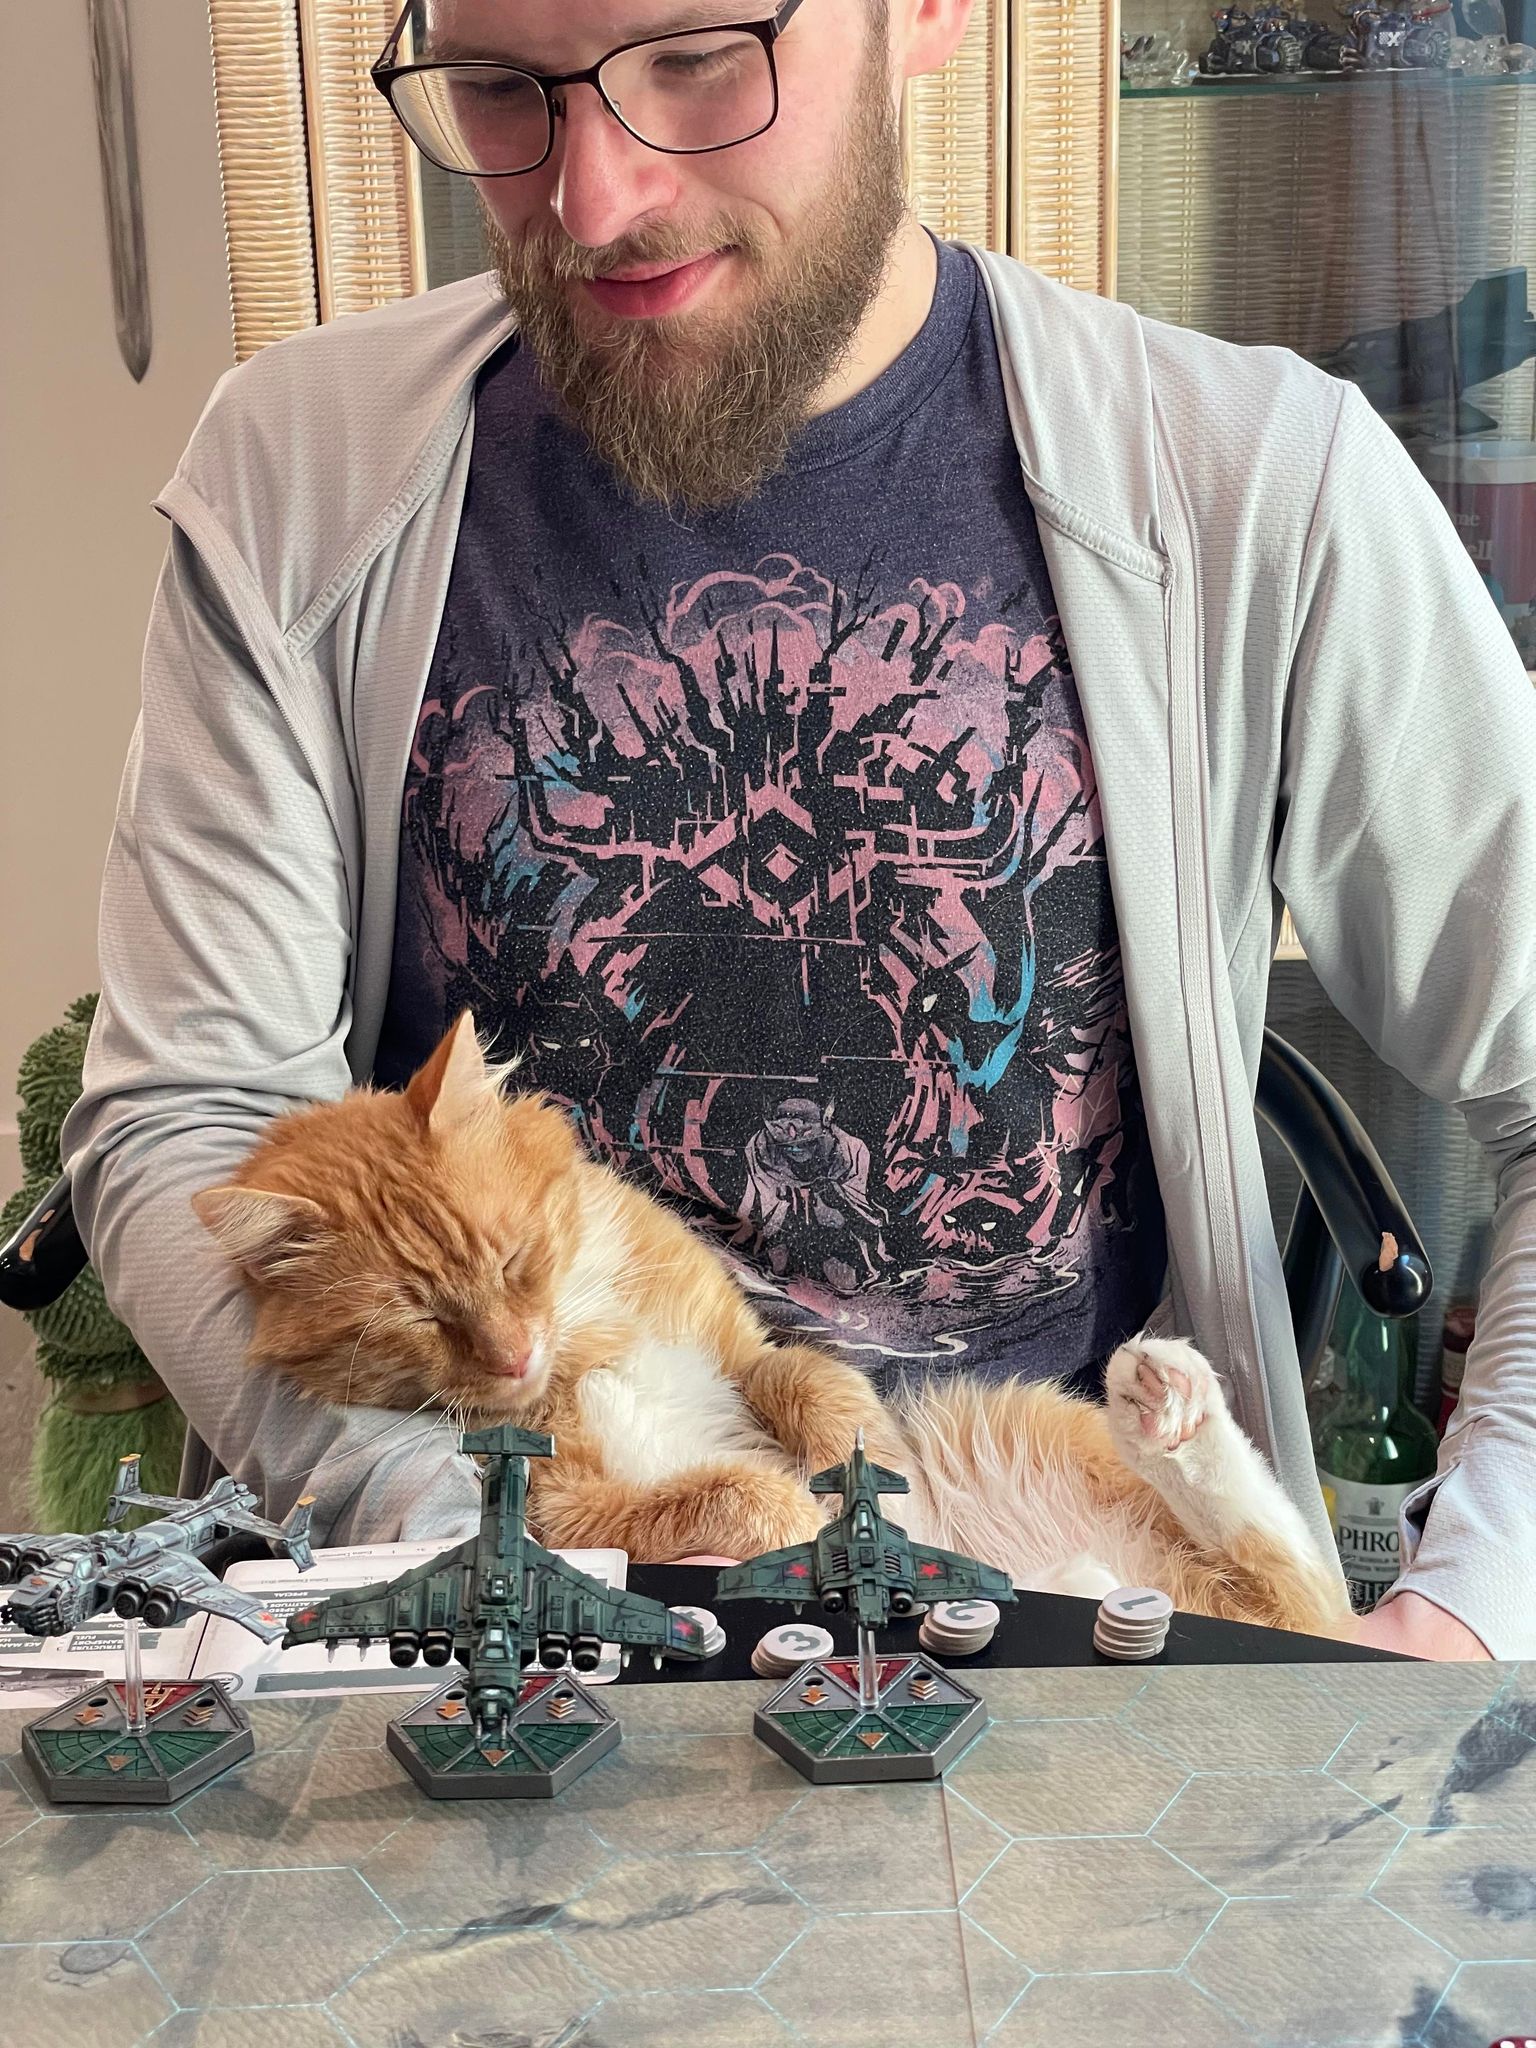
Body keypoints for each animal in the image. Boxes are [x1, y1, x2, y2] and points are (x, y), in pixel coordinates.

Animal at [194, 1012, 1352, 1637]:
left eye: (516, 1258)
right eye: (422, 1320)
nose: (513, 1353)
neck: (585, 1339)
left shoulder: (747, 1350)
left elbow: (811, 1385)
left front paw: (860, 1456)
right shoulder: (564, 1509)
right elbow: (720, 1494)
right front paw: (797, 1515)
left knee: (1295, 1570)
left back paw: (1168, 1400)